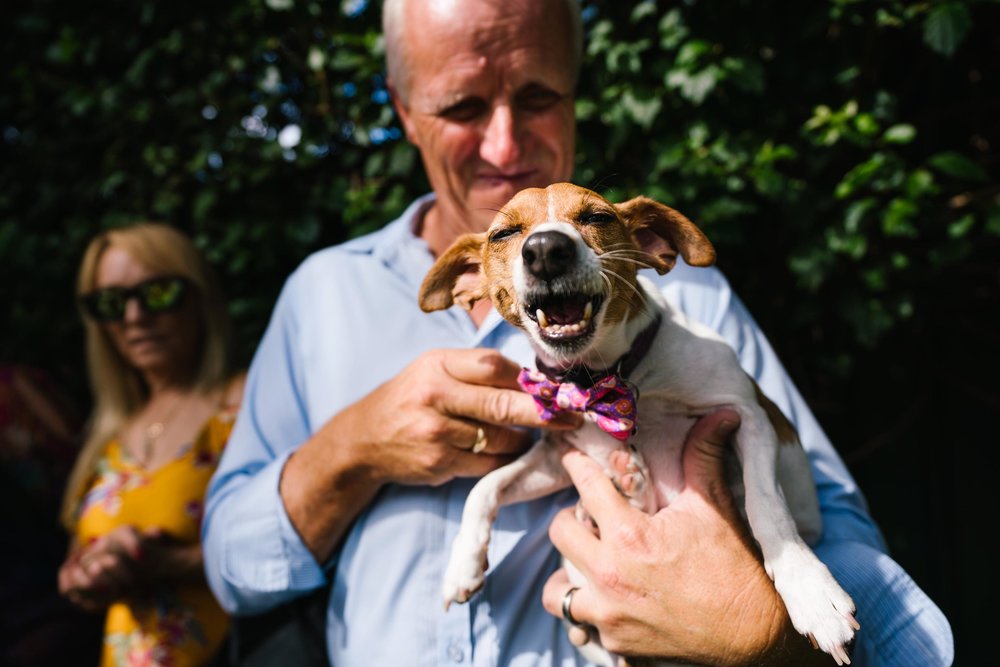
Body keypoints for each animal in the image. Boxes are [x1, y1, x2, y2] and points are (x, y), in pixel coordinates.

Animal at [418, 183, 856, 667]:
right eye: (504, 233)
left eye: (598, 217)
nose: (546, 249)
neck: (604, 377)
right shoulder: (559, 456)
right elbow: (485, 487)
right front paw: (462, 565)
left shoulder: (749, 416)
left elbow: (767, 505)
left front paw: (811, 592)